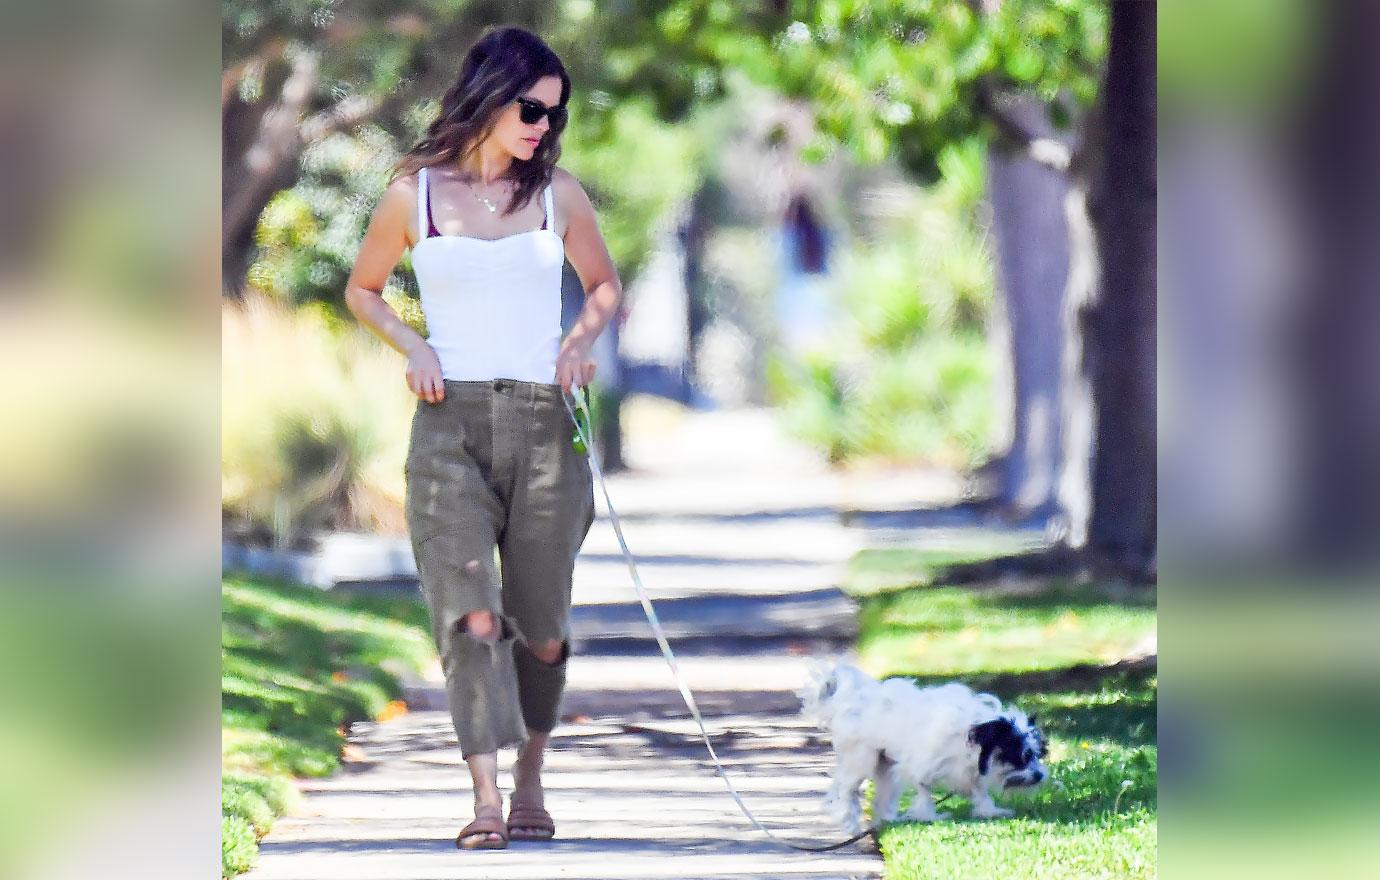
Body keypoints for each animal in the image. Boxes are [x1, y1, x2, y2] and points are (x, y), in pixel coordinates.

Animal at [800, 662, 1043, 833]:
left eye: (1038, 754)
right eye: (1023, 755)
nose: (1040, 775)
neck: (970, 733)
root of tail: (852, 699)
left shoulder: (969, 770)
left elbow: (979, 790)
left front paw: (989, 810)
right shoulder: (920, 764)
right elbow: (924, 789)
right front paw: (929, 815)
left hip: (883, 764)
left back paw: (885, 820)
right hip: (862, 758)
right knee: (846, 789)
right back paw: (849, 820)